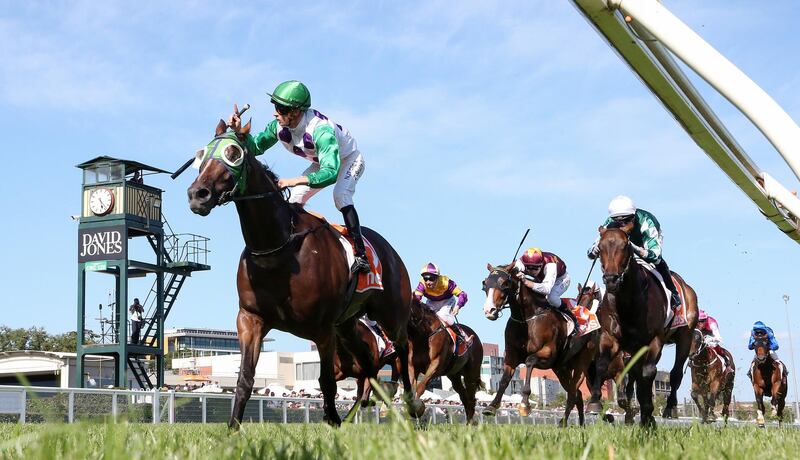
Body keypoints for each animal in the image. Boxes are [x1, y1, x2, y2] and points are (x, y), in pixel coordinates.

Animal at [184, 119, 416, 428]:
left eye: (233, 153)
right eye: (202, 153)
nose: (198, 194)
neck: (278, 247)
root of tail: (389, 250)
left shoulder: (323, 329)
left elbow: (327, 382)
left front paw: (333, 421)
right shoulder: (250, 319)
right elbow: (245, 379)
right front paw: (233, 427)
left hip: (390, 315)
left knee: (402, 350)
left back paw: (414, 406)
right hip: (348, 325)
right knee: (368, 365)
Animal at [482, 264, 600, 426]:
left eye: (505, 283)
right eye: (485, 284)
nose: (489, 310)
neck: (527, 319)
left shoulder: (548, 354)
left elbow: (529, 360)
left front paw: (524, 405)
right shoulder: (511, 356)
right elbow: (504, 380)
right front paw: (492, 406)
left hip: (581, 363)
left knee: (572, 393)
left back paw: (563, 422)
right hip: (561, 368)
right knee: (577, 394)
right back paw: (579, 424)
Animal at [584, 226, 696, 428]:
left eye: (624, 246)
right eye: (600, 247)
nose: (611, 279)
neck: (628, 303)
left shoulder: (654, 339)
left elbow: (648, 373)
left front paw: (647, 412)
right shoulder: (610, 337)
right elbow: (603, 365)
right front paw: (595, 403)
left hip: (685, 335)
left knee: (674, 373)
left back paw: (669, 408)